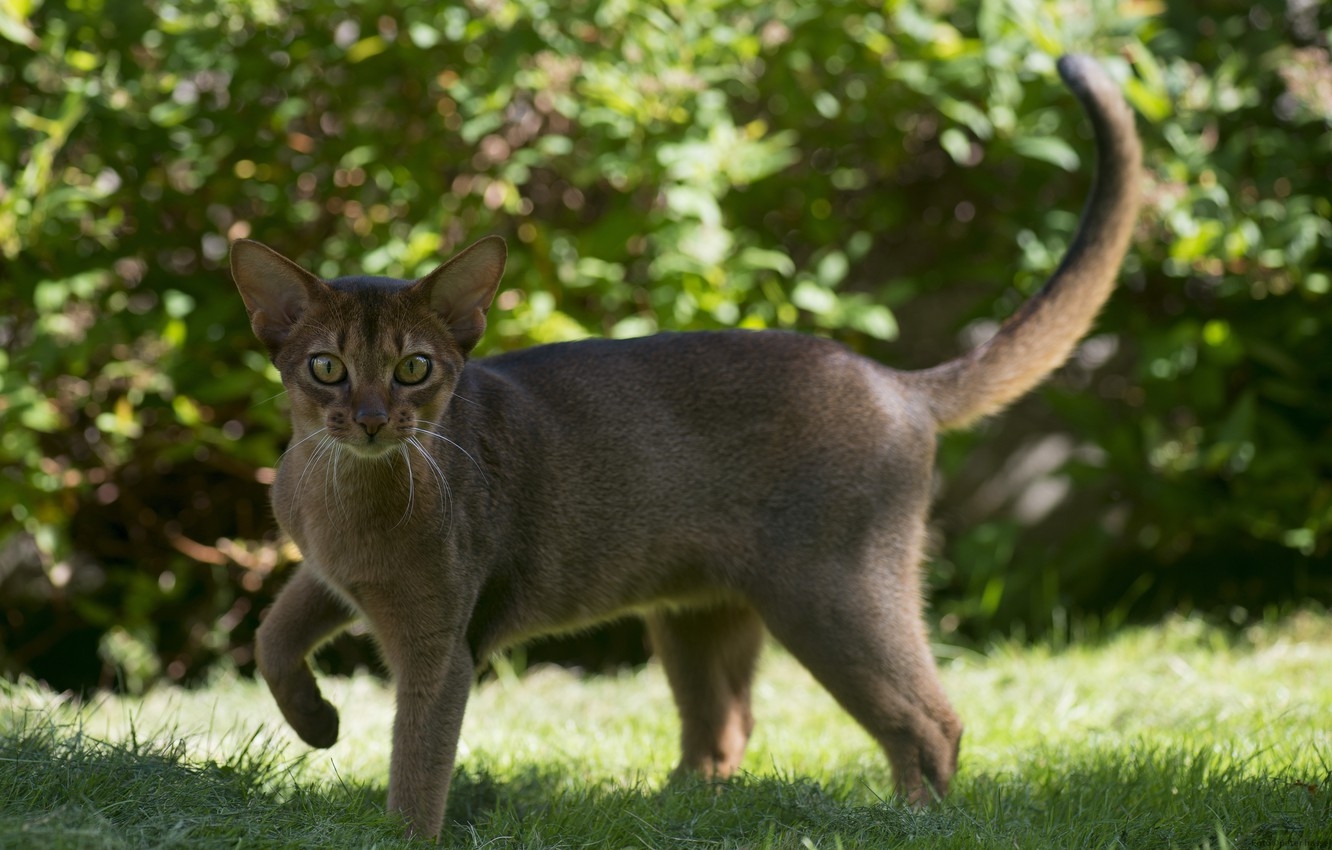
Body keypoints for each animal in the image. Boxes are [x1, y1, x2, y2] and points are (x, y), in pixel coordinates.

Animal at [226, 54, 1134, 847]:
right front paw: (317, 722)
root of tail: (894, 379)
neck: (347, 494)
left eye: (414, 367)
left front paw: (396, 832)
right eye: (327, 367)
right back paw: (665, 813)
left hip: (831, 591)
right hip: (696, 611)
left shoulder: (439, 645)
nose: (372, 419)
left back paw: (908, 825)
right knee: (726, 729)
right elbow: (271, 634)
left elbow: (416, 767)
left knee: (930, 721)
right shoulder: (330, 576)